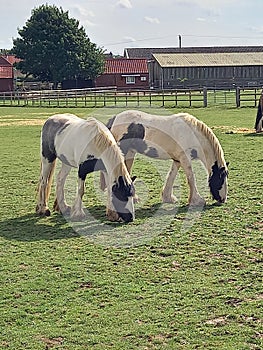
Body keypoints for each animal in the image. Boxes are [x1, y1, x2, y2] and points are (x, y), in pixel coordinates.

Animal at [102, 110, 230, 206]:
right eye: (221, 177)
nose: (223, 199)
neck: (192, 134)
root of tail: (115, 118)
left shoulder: (178, 160)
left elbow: (171, 176)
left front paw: (168, 198)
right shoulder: (185, 158)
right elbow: (191, 178)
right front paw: (197, 200)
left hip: (130, 153)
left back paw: (133, 198)